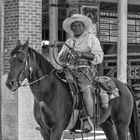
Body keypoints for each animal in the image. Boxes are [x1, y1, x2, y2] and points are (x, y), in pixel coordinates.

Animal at [5, 39, 140, 140]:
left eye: (21, 60)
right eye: (10, 60)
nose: (9, 83)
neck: (49, 92)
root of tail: (123, 85)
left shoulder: (57, 129)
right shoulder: (44, 130)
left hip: (122, 124)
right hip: (107, 124)